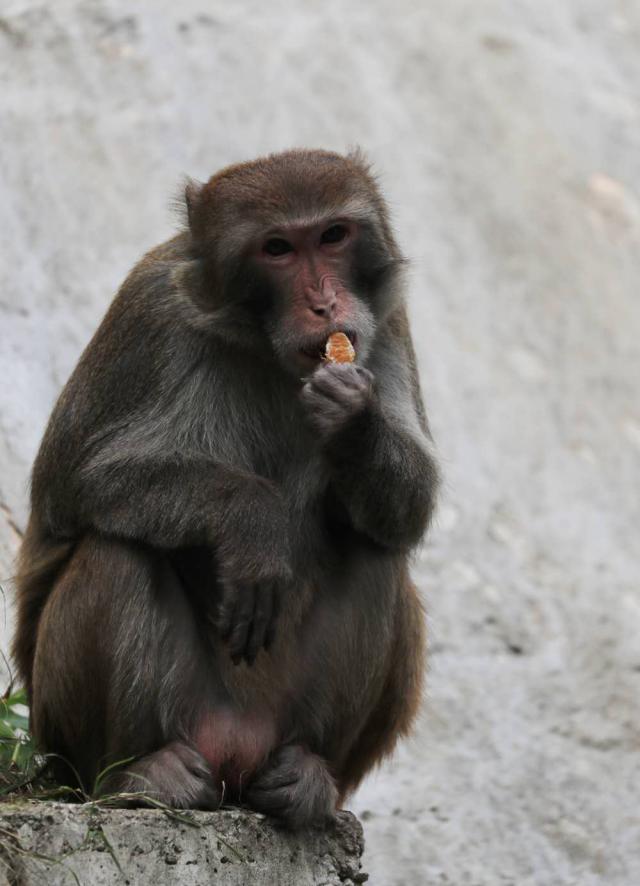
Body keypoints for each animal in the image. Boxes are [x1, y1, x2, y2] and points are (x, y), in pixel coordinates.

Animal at [12, 148, 439, 828]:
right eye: (277, 248)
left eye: (333, 235)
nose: (325, 305)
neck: (264, 348)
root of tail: (235, 751)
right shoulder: (150, 309)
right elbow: (72, 483)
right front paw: (252, 520)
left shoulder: (385, 318)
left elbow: (411, 508)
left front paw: (354, 423)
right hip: (93, 737)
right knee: (116, 547)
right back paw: (139, 775)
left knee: (377, 552)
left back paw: (307, 776)